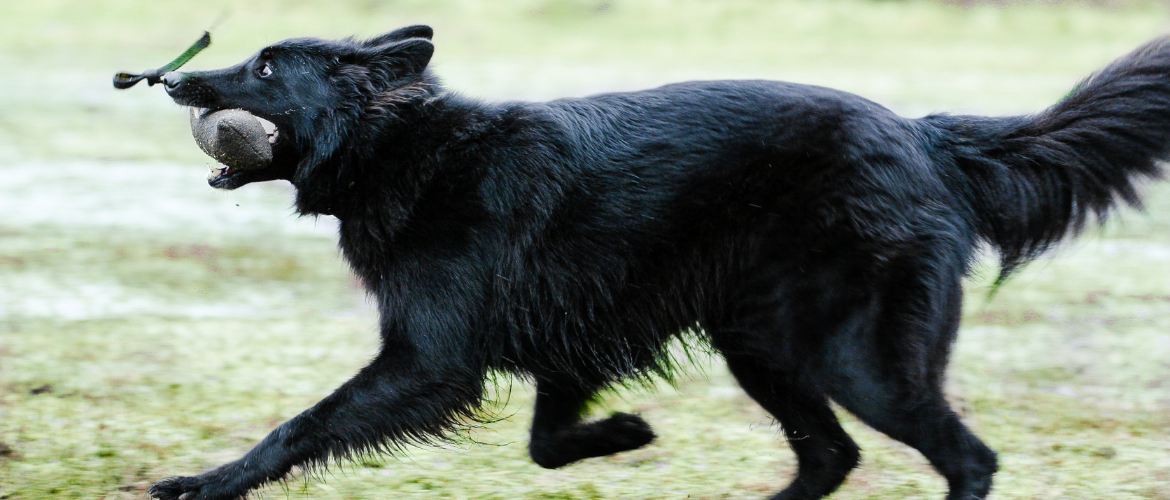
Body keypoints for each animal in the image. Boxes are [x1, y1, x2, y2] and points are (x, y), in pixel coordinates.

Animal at [148, 26, 1170, 500]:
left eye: (268, 69)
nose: (176, 79)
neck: (413, 151)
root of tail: (927, 136)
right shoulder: (568, 339)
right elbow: (548, 440)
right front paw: (625, 436)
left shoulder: (427, 361)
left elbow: (301, 427)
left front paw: (206, 482)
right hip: (762, 344)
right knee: (831, 453)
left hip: (858, 360)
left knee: (965, 456)